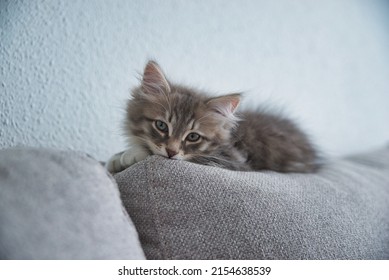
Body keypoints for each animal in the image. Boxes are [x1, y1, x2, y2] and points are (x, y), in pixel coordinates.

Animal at [106, 60, 318, 172]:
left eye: (193, 136)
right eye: (161, 125)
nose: (171, 152)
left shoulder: (232, 161)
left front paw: (130, 154)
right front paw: (117, 158)